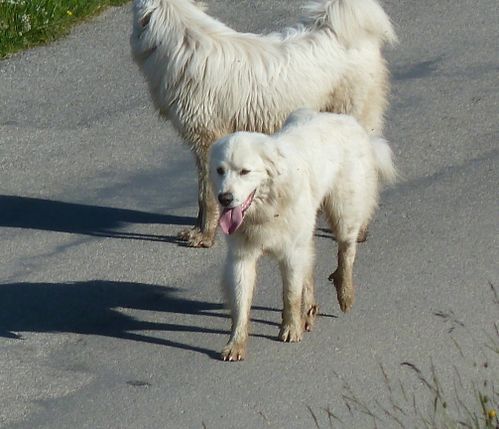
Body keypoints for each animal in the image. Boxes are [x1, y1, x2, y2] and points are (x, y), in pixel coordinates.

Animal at [131, 0, 396, 247]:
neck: (182, 41)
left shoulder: (206, 142)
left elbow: (206, 195)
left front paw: (205, 236)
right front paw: (199, 229)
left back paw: (358, 227)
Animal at [209, 108, 396, 360]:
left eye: (245, 172)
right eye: (220, 171)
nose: (224, 198)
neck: (268, 206)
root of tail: (346, 120)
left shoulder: (291, 253)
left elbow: (290, 295)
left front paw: (290, 329)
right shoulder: (241, 257)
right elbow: (241, 303)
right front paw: (235, 344)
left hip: (343, 213)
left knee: (346, 252)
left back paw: (344, 292)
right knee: (310, 270)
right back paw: (309, 311)